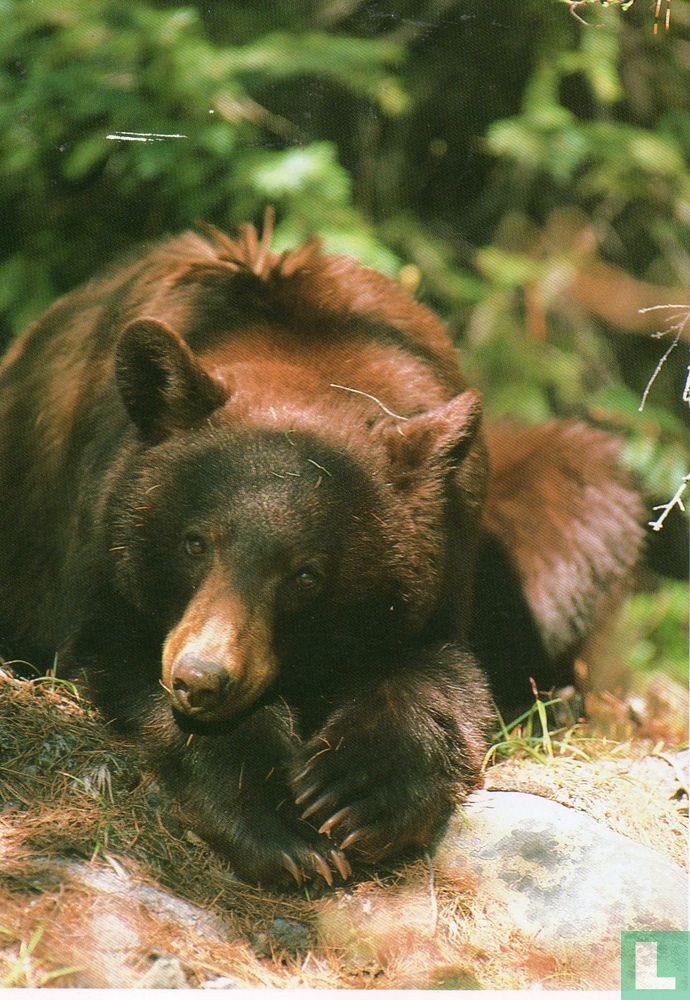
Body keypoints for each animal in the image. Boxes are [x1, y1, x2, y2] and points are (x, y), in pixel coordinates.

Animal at [0, 215, 643, 886]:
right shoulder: (99, 551)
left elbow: (441, 673)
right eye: (195, 542)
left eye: (305, 575)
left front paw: (356, 792)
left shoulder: (445, 552)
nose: (201, 679)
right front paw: (282, 822)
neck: (305, 352)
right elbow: (121, 655)